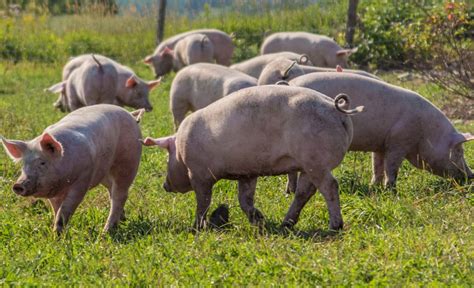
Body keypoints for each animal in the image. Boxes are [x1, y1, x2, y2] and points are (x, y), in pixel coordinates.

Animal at [0, 104, 143, 233]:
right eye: (24, 164)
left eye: (42, 163)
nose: (18, 185)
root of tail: (130, 114)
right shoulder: (54, 193)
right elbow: (56, 211)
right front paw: (57, 233)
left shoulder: (82, 181)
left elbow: (64, 211)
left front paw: (56, 236)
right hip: (105, 172)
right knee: (112, 191)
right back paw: (122, 220)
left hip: (128, 162)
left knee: (120, 195)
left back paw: (106, 232)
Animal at [141, 86, 362, 232]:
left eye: (166, 158)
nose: (165, 185)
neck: (181, 151)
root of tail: (338, 110)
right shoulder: (247, 173)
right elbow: (244, 199)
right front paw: (259, 220)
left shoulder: (200, 175)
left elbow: (203, 202)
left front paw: (195, 227)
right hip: (309, 165)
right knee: (304, 192)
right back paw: (285, 224)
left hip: (315, 160)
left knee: (330, 186)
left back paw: (335, 226)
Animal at [286, 71, 474, 189]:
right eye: (459, 151)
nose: (471, 176)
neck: (426, 133)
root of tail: (290, 83)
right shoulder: (399, 141)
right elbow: (391, 167)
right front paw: (391, 189)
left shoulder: (380, 145)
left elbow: (377, 166)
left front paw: (374, 186)